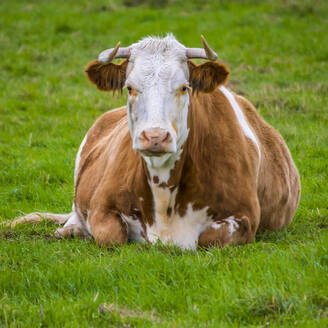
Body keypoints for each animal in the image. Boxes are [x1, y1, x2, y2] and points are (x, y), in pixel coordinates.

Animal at [12, 34, 300, 250]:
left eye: (184, 87)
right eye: (129, 87)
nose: (155, 137)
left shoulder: (245, 217)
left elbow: (209, 238)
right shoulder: (101, 205)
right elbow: (111, 235)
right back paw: (70, 230)